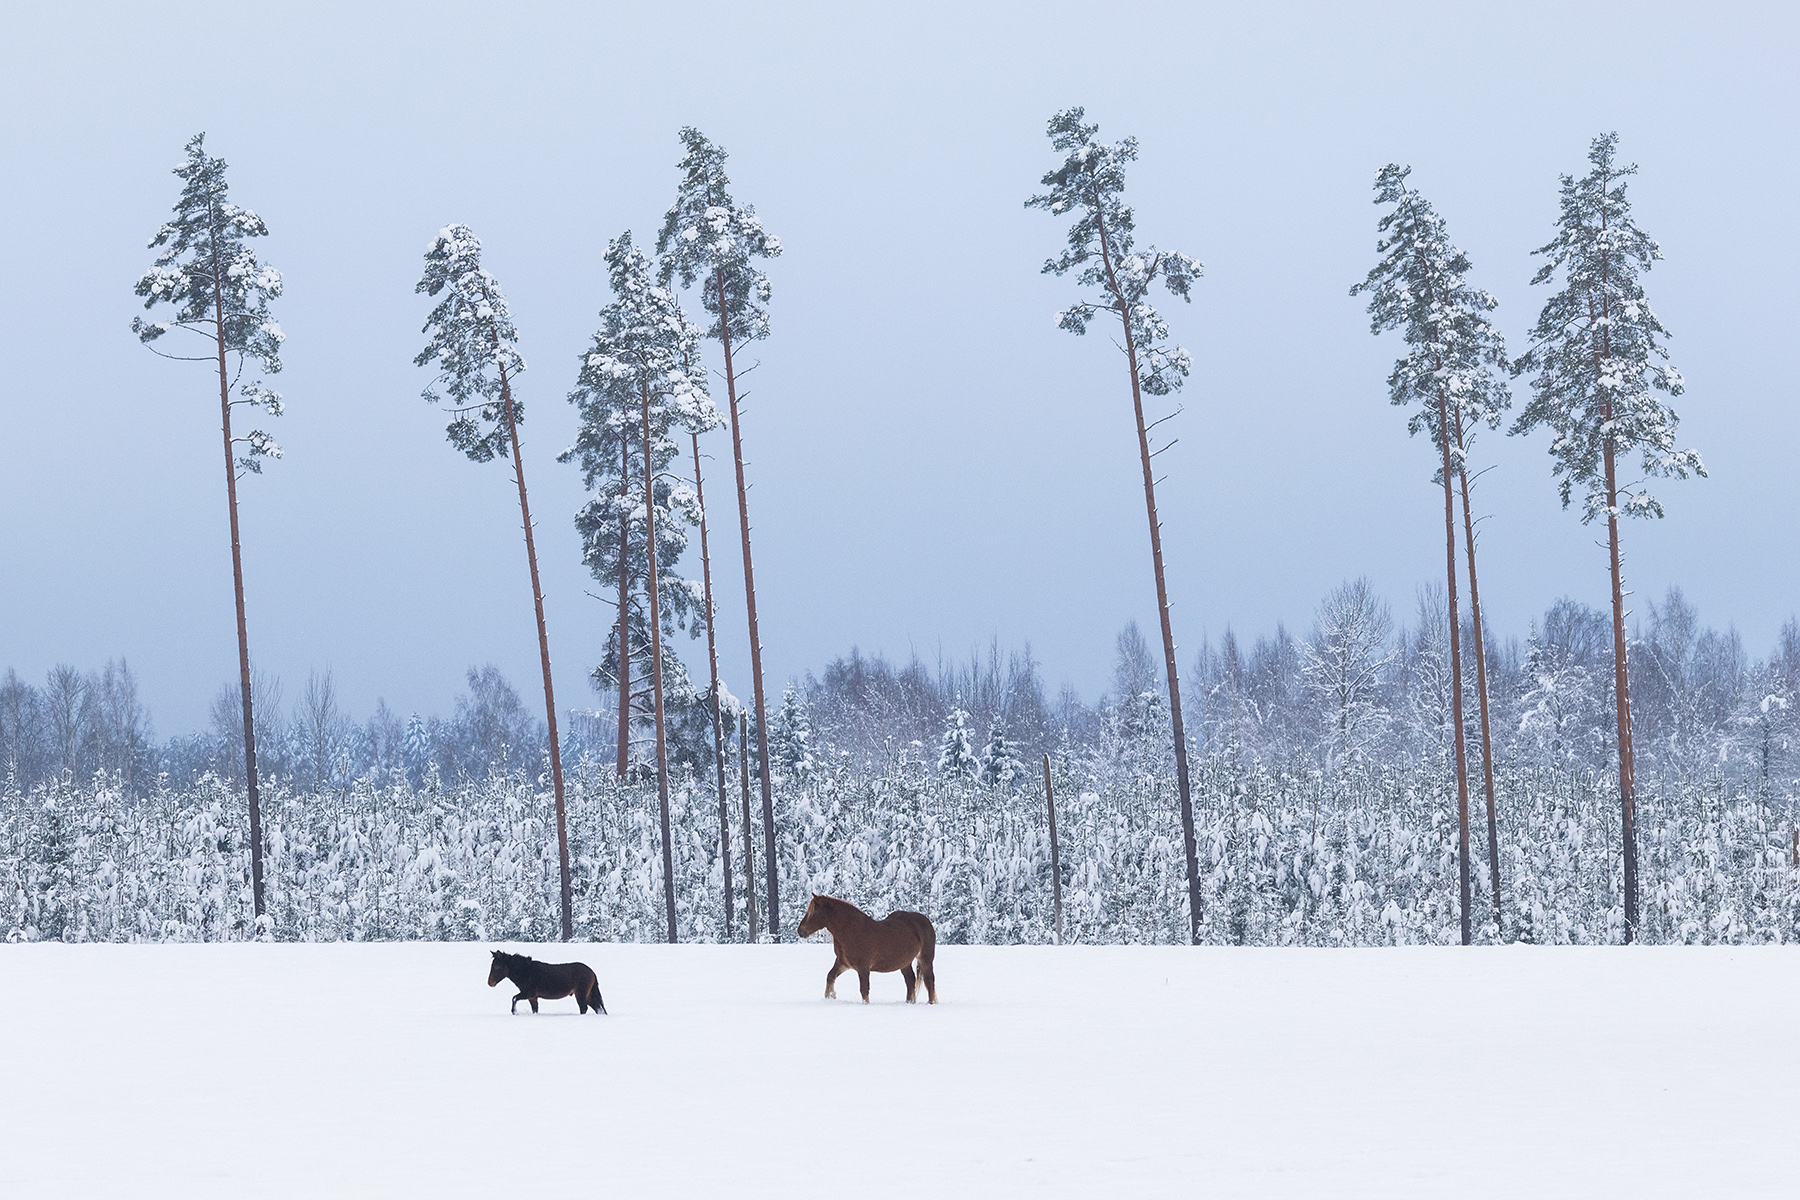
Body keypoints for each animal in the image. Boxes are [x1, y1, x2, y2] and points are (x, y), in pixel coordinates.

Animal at [802, 892, 943, 1007]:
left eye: (812, 912)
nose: (800, 931)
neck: (851, 931)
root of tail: (925, 920)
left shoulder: (863, 967)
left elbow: (864, 989)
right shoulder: (843, 963)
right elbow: (830, 977)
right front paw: (830, 998)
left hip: (925, 958)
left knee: (929, 980)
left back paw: (930, 1003)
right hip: (905, 962)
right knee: (910, 980)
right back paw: (909, 1003)